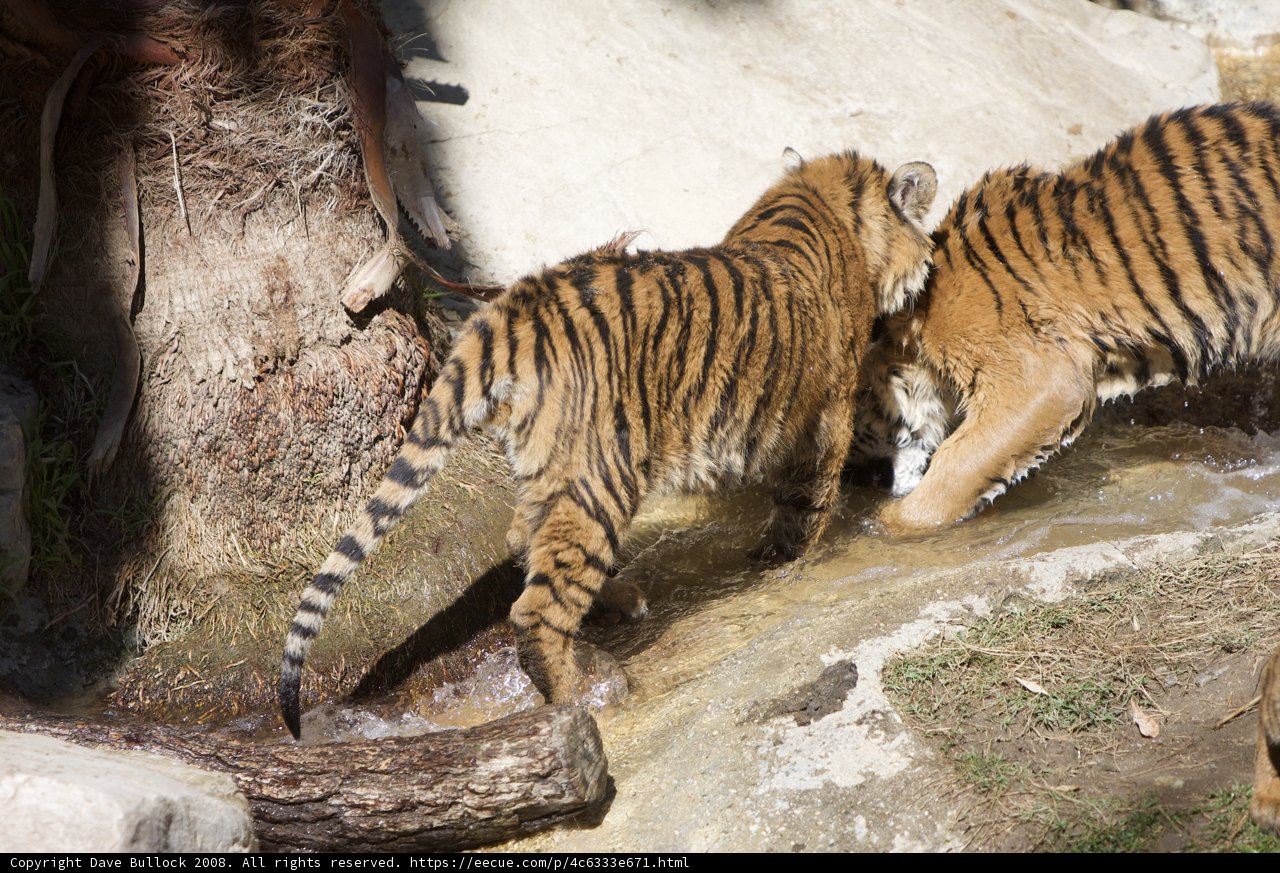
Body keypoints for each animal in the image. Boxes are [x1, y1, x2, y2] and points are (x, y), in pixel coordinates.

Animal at [278, 149, 939, 739]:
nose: (927, 275)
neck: (821, 206)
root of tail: (518, 306)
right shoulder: (827, 418)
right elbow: (807, 509)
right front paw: (787, 560)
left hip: (552, 468)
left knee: (525, 541)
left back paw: (620, 599)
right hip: (602, 476)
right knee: (540, 609)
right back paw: (578, 699)